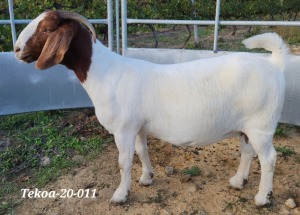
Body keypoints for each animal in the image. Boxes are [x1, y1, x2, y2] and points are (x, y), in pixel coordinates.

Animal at [14, 10, 288, 207]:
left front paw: (120, 195)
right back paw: (237, 182)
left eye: (47, 28)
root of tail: (273, 64)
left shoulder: (123, 128)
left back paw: (262, 198)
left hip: (262, 126)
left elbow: (124, 161)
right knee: (248, 152)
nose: (16, 49)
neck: (105, 73)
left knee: (269, 158)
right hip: (247, 126)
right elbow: (142, 151)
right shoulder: (137, 127)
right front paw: (147, 178)